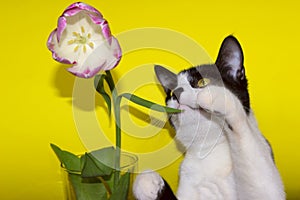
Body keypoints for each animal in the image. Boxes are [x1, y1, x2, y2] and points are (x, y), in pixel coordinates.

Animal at [132, 36, 284, 200]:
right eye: (171, 92)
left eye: (202, 82)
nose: (177, 93)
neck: (208, 151)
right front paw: (147, 182)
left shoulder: (266, 186)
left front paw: (218, 98)